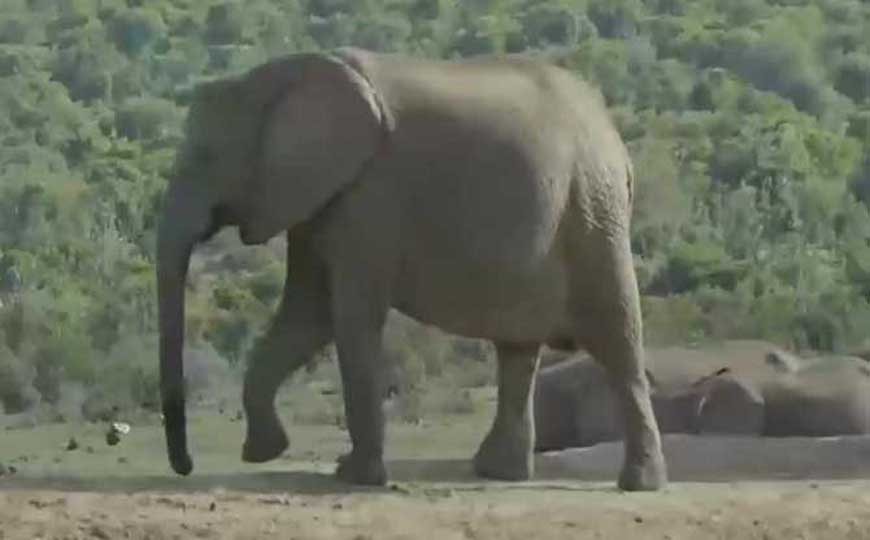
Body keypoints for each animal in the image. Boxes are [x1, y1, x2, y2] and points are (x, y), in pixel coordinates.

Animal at [155, 47, 666, 491]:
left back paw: (638, 483)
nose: (185, 465)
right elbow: (307, 314)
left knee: (617, 341)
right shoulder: (321, 198)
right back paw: (497, 473)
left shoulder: (369, 195)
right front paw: (266, 452)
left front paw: (353, 477)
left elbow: (348, 318)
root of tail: (616, 142)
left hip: (592, 214)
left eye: (204, 156)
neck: (274, 77)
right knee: (518, 350)